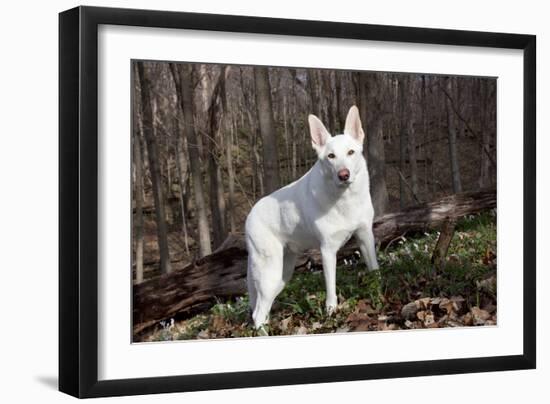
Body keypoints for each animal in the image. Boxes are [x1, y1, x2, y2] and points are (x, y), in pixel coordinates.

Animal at [246, 105, 380, 330]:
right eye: (331, 156)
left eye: (351, 152)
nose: (343, 175)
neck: (344, 200)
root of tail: (249, 216)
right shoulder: (327, 251)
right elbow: (331, 288)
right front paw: (332, 312)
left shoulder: (365, 237)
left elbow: (374, 269)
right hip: (269, 274)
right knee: (257, 314)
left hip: (282, 275)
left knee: (262, 311)